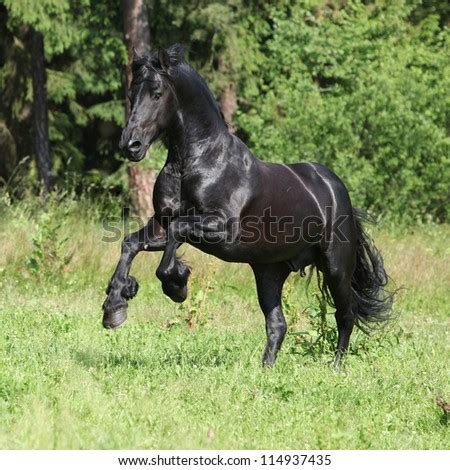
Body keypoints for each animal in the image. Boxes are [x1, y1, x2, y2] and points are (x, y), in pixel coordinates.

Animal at [103, 45, 394, 368]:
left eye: (156, 93)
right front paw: (115, 305)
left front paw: (177, 284)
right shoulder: (161, 225)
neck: (198, 163)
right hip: (269, 272)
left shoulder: (220, 229)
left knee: (346, 315)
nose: (130, 145)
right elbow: (131, 243)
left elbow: (174, 240)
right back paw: (265, 369)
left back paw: (335, 367)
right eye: (132, 93)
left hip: (336, 266)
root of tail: (336, 189)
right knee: (278, 324)